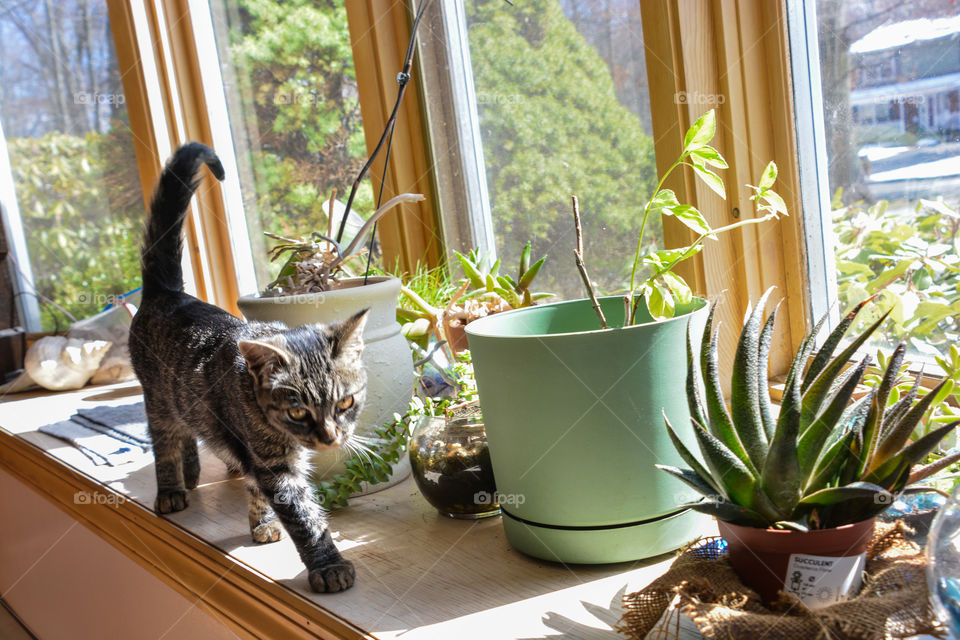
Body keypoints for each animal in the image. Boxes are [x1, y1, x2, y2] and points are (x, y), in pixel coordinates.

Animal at [129, 142, 366, 592]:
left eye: (345, 404)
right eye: (297, 412)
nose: (329, 438)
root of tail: (166, 292)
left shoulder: (261, 459)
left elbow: (258, 490)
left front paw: (263, 523)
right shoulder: (271, 461)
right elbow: (304, 517)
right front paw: (328, 565)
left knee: (187, 433)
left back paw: (191, 473)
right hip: (158, 398)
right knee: (166, 440)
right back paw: (171, 488)